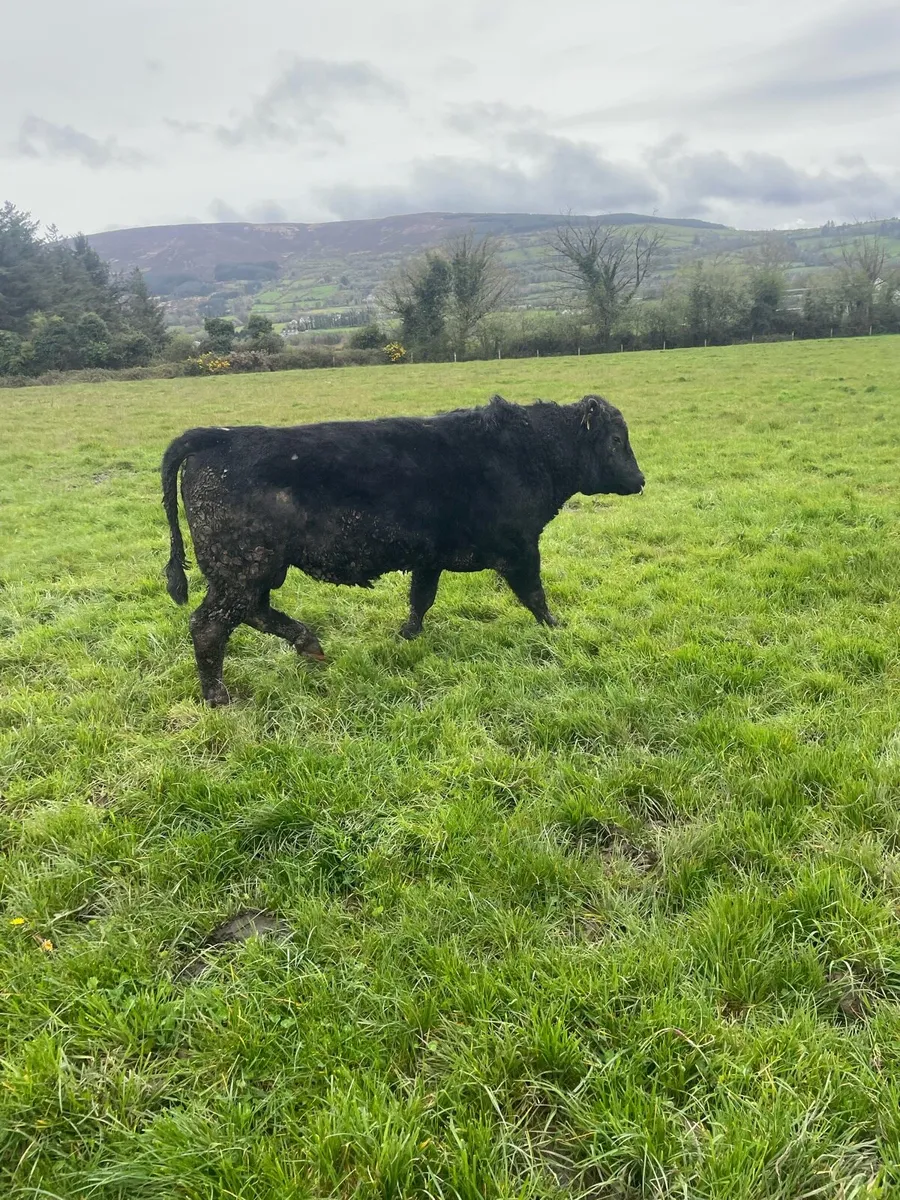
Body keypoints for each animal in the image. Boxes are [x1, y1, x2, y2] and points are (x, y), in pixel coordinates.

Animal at [161, 393, 645, 705]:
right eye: (616, 440)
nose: (640, 480)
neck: (531, 451)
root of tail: (220, 436)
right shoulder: (521, 547)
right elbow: (535, 596)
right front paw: (558, 628)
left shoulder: (430, 557)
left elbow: (421, 598)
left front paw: (407, 635)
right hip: (241, 569)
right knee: (209, 625)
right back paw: (217, 696)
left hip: (255, 570)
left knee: (253, 613)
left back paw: (309, 643)